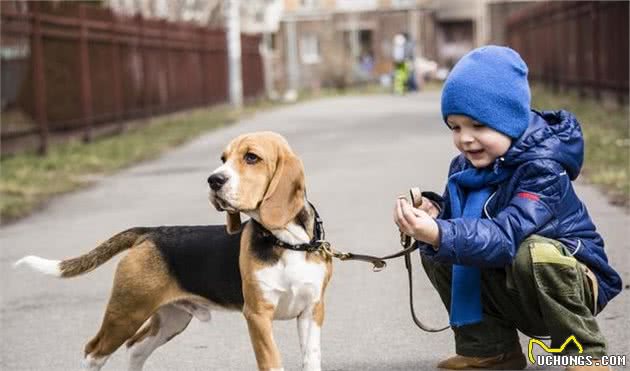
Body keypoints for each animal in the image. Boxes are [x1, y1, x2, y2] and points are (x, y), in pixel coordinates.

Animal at [13, 133, 336, 371]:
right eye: (223, 159)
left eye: (251, 157)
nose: (213, 180)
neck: (287, 243)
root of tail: (149, 232)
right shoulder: (257, 315)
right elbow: (272, 362)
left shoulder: (311, 311)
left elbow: (312, 359)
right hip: (126, 311)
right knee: (94, 352)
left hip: (171, 319)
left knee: (136, 349)